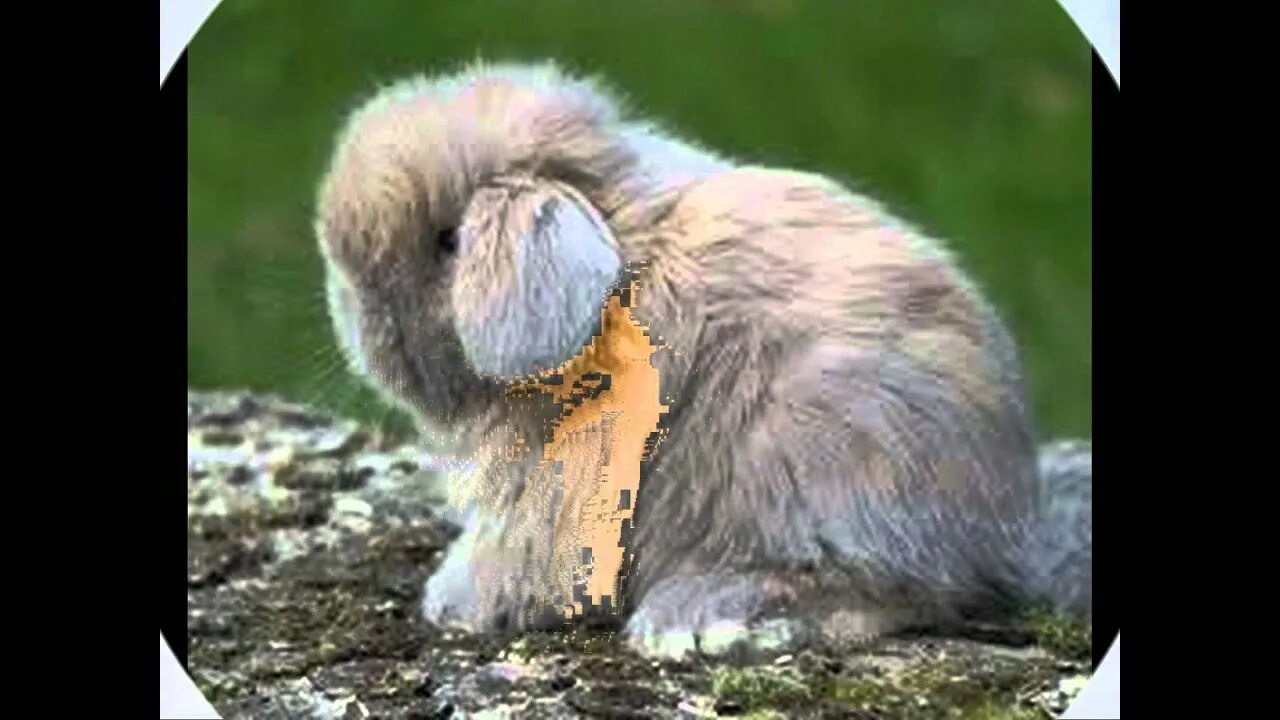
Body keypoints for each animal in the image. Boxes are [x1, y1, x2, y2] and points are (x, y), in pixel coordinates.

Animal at [313, 59, 1092, 659]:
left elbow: (513, 556)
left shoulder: (555, 487)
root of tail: (1003, 534)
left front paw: (451, 603)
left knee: (884, 594)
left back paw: (699, 617)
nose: (359, 314)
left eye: (448, 241)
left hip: (821, 479)